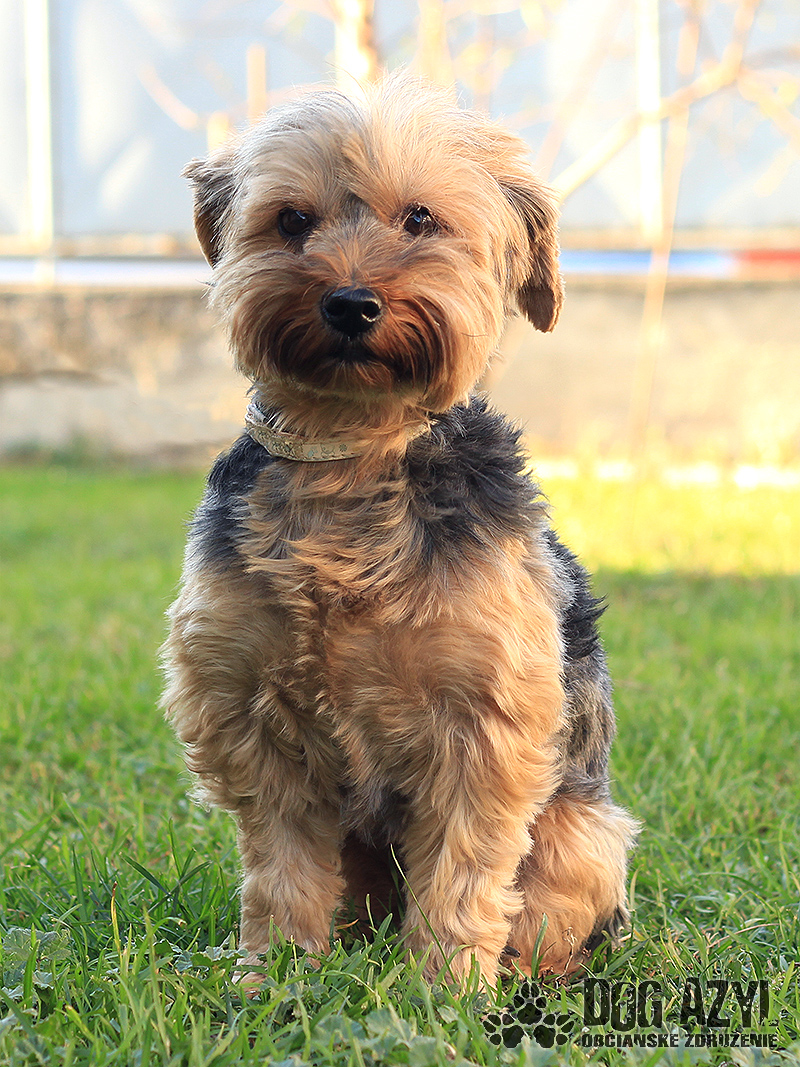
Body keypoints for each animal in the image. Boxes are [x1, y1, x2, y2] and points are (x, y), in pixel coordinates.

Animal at [162, 74, 637, 985]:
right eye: (291, 220)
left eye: (419, 219)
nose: (349, 301)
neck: (355, 450)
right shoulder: (246, 704)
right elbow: (279, 861)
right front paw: (271, 974)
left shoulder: (484, 713)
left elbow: (465, 862)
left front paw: (444, 987)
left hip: (585, 833)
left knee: (556, 905)